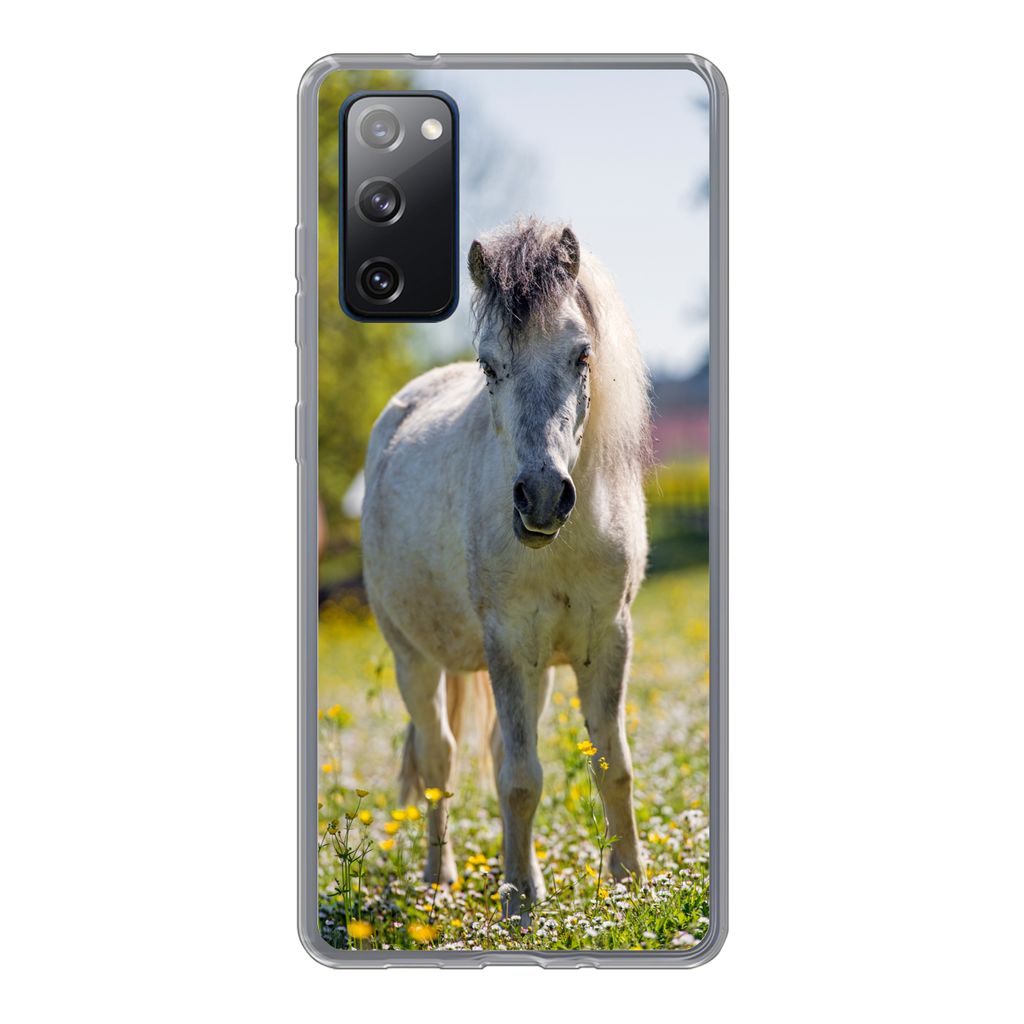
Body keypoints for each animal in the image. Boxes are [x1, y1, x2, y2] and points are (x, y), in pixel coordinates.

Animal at [361, 219, 651, 918]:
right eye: (490, 366)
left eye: (581, 355)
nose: (542, 498)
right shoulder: (508, 644)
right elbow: (521, 778)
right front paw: (519, 902)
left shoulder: (608, 638)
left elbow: (614, 764)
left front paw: (629, 884)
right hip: (415, 658)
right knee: (439, 759)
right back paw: (440, 879)